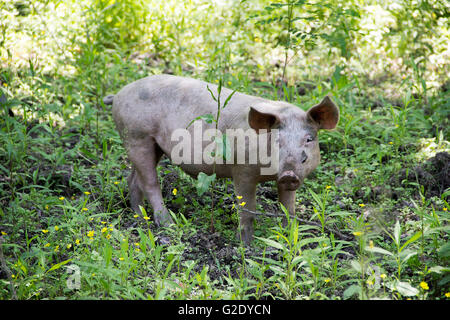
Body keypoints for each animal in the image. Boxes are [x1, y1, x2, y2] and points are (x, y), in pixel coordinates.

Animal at [104, 74, 338, 245]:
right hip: (137, 135)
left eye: (309, 139)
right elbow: (247, 208)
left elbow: (288, 209)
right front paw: (245, 246)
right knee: (150, 183)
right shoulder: (242, 170)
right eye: (276, 139)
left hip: (149, 144)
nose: (289, 174)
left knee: (134, 179)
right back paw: (167, 224)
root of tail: (119, 94)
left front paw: (288, 237)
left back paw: (138, 217)